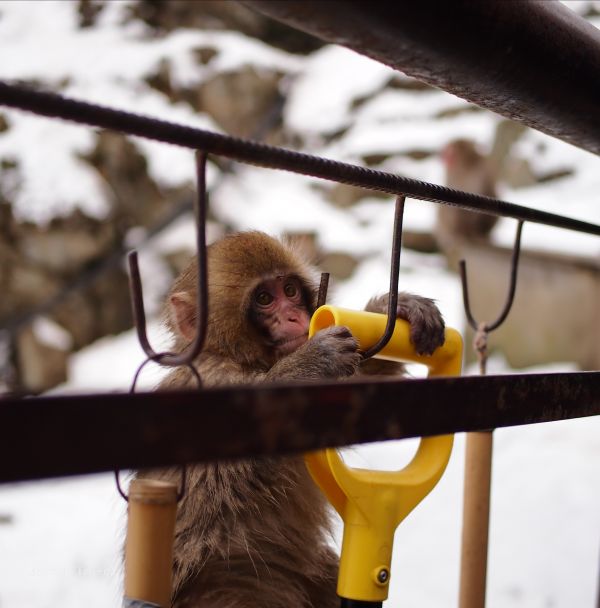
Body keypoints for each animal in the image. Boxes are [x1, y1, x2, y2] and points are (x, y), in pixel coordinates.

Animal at [144, 232, 446, 608]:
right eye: (264, 298)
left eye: (289, 290)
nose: (293, 316)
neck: (244, 359)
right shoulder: (213, 382)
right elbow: (215, 480)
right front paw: (313, 363)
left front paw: (393, 307)